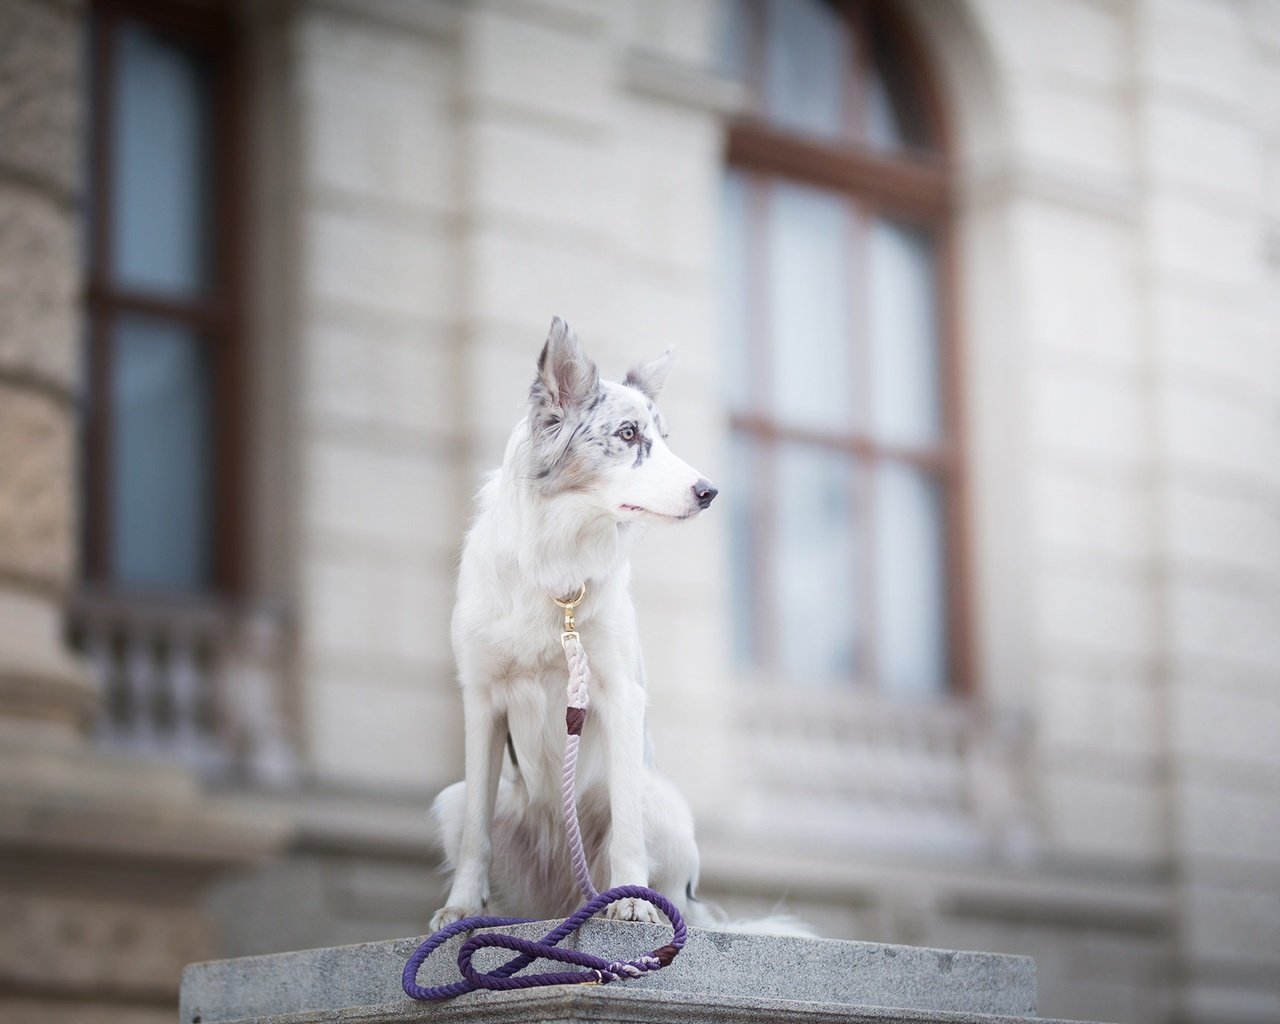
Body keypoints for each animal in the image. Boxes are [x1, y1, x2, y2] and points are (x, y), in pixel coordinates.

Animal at [430, 313, 721, 926]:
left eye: (664, 438)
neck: (558, 566)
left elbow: (627, 829)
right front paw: (461, 907)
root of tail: (566, 896)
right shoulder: (481, 700)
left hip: (667, 809)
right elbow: (475, 837)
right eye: (629, 434)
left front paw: (632, 903)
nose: (710, 491)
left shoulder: (618, 693)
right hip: (453, 799)